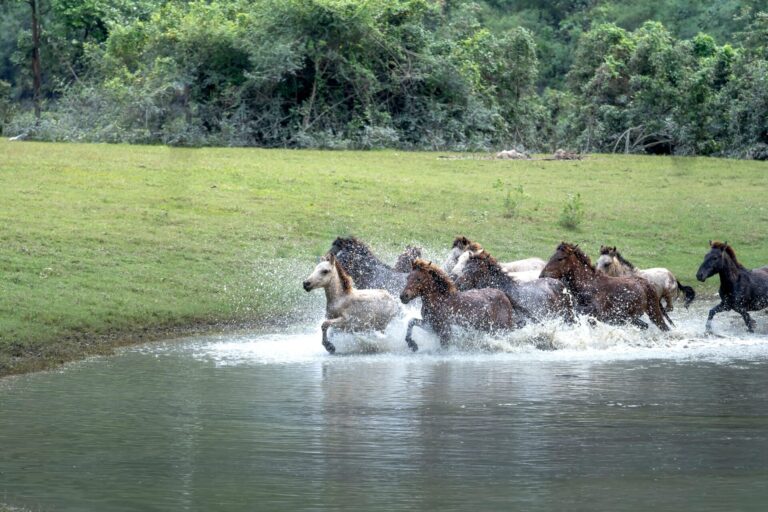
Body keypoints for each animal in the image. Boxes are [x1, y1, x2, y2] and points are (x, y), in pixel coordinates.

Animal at [540, 242, 670, 331]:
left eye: (560, 258)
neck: (589, 285)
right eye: (551, 257)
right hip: (630, 317)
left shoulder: (599, 314)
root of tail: (647, 283)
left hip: (653, 312)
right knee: (645, 325)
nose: (542, 275)